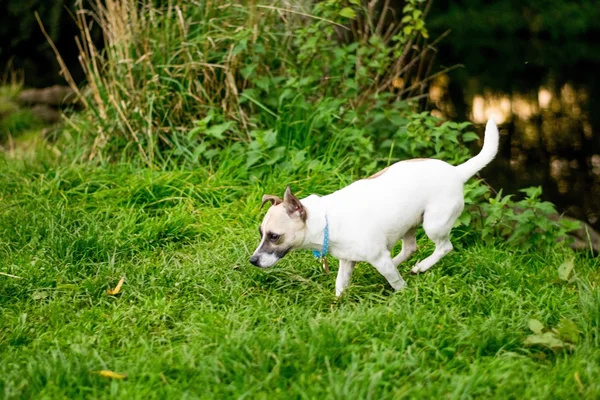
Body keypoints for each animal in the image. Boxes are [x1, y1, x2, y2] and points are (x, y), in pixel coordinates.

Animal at [251, 117, 500, 296]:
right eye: (261, 234)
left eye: (274, 236)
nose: (252, 261)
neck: (327, 221)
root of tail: (457, 172)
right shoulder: (347, 261)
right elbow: (340, 285)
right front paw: (337, 305)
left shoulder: (378, 257)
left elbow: (396, 282)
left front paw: (403, 295)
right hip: (409, 223)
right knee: (410, 248)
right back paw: (399, 263)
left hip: (434, 224)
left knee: (444, 247)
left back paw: (421, 266)